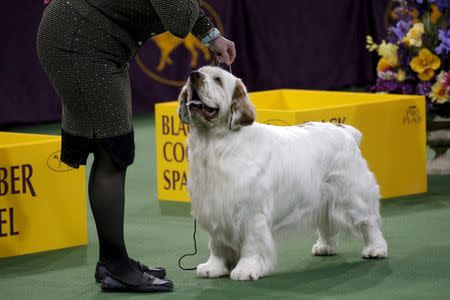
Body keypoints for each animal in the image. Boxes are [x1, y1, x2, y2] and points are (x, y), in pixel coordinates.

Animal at [178, 66, 388, 282]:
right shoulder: (215, 208)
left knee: (369, 222)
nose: (193, 75)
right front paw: (214, 267)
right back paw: (325, 247)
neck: (214, 144)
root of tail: (345, 131)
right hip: (322, 197)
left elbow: (251, 244)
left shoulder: (251, 213)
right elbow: (217, 245)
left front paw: (246, 269)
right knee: (327, 222)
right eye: (199, 72)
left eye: (218, 80)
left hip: (352, 195)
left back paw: (375, 249)